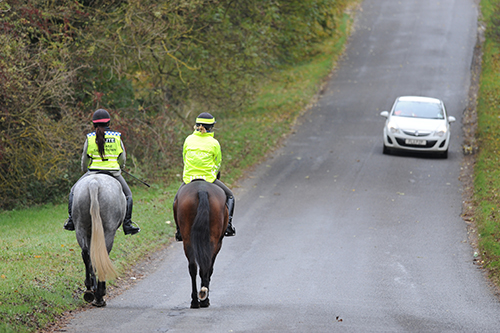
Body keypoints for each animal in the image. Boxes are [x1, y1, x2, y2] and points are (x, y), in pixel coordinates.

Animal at [72, 174, 127, 306]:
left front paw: (92, 286)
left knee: (86, 254)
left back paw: (89, 290)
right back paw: (99, 296)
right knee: (103, 255)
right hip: (108, 231)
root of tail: (94, 183)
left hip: (80, 228)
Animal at [172, 180, 227, 308]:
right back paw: (203, 298)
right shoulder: (219, 243)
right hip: (213, 241)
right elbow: (210, 268)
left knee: (193, 267)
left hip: (187, 240)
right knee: (206, 266)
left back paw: (195, 301)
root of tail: (202, 191)